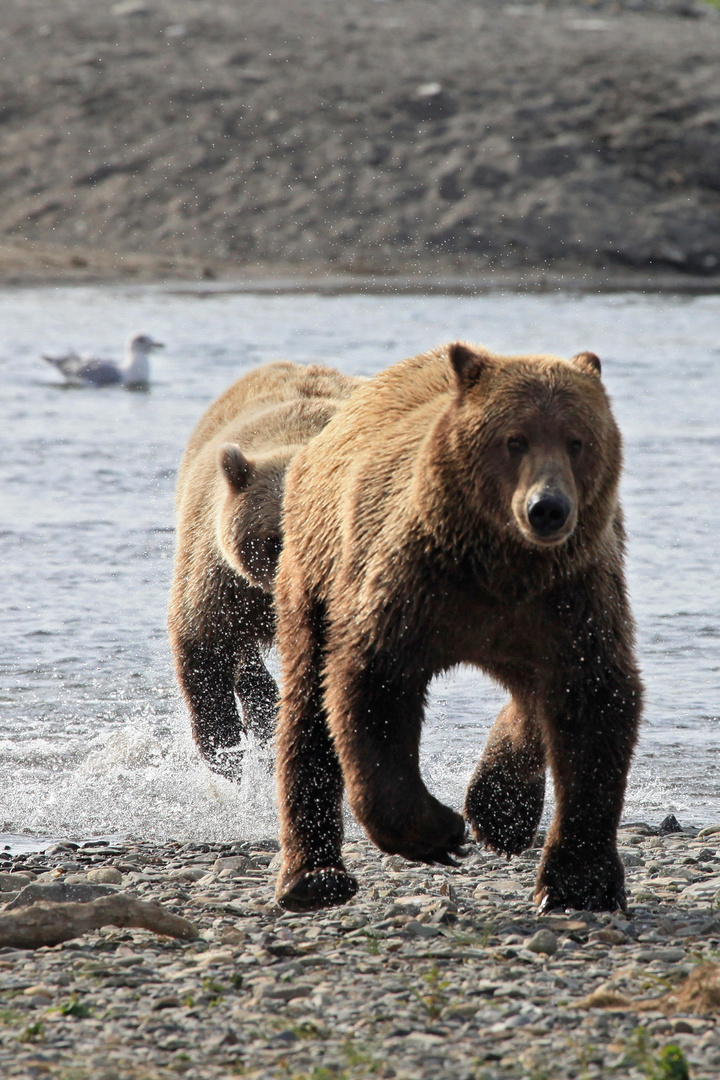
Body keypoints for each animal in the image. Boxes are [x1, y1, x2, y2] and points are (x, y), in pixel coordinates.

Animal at [273, 339, 643, 911]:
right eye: (514, 439)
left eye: (577, 440)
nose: (548, 509)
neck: (498, 566)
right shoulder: (410, 584)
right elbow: (371, 684)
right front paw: (438, 833)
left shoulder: (570, 597)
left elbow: (594, 700)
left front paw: (578, 885)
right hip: (313, 570)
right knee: (307, 706)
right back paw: (313, 877)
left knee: (533, 696)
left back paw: (500, 811)